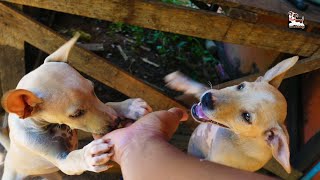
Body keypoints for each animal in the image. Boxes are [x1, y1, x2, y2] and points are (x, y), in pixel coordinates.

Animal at [0, 34, 152, 179]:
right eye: (76, 114)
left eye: (94, 90)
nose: (116, 121)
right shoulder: (54, 157)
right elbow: (72, 160)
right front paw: (88, 156)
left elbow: (107, 104)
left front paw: (130, 107)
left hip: (54, 176)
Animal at [165, 56, 300, 173]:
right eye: (241, 86)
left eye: (247, 116)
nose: (206, 99)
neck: (238, 138)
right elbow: (201, 87)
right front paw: (178, 80)